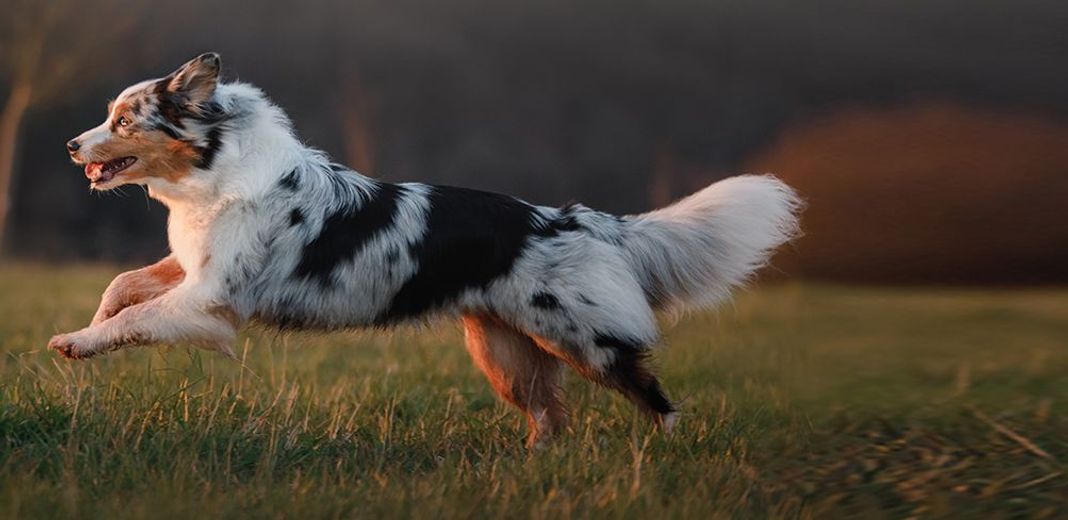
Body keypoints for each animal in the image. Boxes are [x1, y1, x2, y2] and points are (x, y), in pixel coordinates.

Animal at [54, 51, 798, 448]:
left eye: (124, 120)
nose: (69, 144)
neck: (217, 172)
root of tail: (586, 221)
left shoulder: (212, 301)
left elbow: (138, 317)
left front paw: (75, 343)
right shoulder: (191, 271)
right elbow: (123, 286)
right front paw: (89, 323)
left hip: (583, 340)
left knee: (649, 391)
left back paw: (666, 450)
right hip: (503, 351)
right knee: (551, 417)